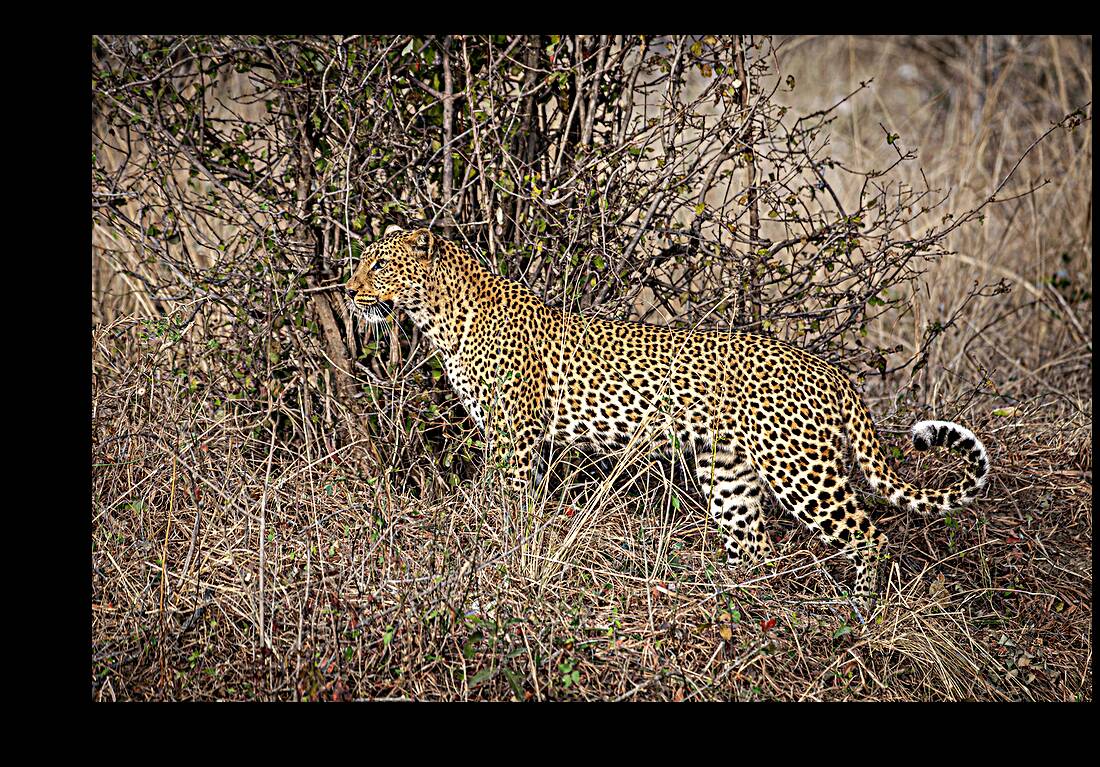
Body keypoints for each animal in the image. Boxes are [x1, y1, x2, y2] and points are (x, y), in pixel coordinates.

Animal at [347, 227, 990, 607]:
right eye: (361, 264)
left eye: (378, 266)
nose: (349, 292)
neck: (439, 317)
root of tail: (830, 370)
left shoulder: (515, 438)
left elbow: (503, 505)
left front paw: (490, 558)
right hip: (727, 470)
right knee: (754, 544)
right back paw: (731, 598)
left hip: (800, 470)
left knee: (868, 533)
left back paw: (859, 610)